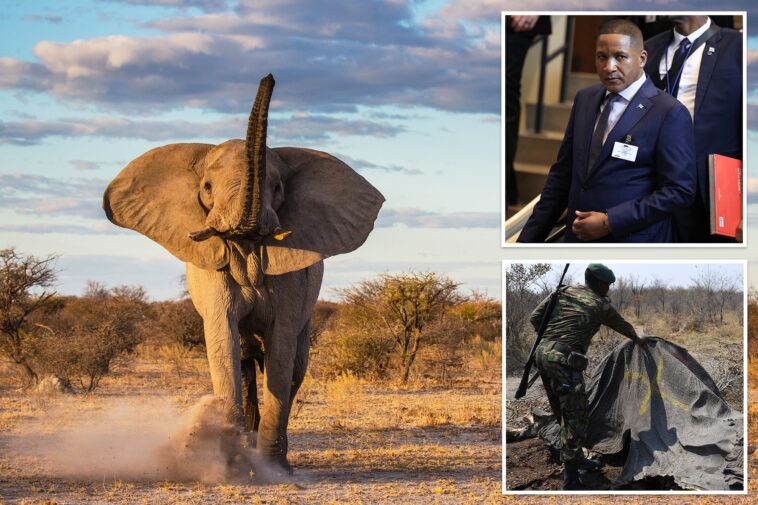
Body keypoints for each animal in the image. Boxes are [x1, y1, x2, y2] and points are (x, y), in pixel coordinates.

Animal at [102, 74, 384, 472]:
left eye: (278, 188)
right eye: (206, 187)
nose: (269, 78)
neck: (245, 243)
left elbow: (281, 354)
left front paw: (271, 468)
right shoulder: (212, 272)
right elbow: (223, 343)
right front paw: (233, 463)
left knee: (294, 367)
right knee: (245, 360)